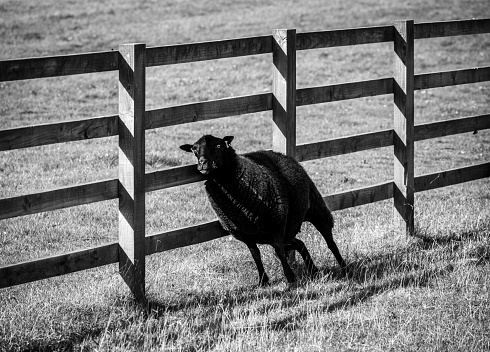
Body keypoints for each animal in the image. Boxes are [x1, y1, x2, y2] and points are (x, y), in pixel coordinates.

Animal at [179, 135, 344, 286]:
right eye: (194, 149)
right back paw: (313, 270)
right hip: (282, 231)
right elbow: (256, 255)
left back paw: (344, 266)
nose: (202, 163)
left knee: (329, 241)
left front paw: (290, 278)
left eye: (218, 146)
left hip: (315, 209)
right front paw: (263, 280)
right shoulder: (245, 234)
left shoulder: (277, 223)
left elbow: (278, 250)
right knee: (300, 244)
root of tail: (282, 155)